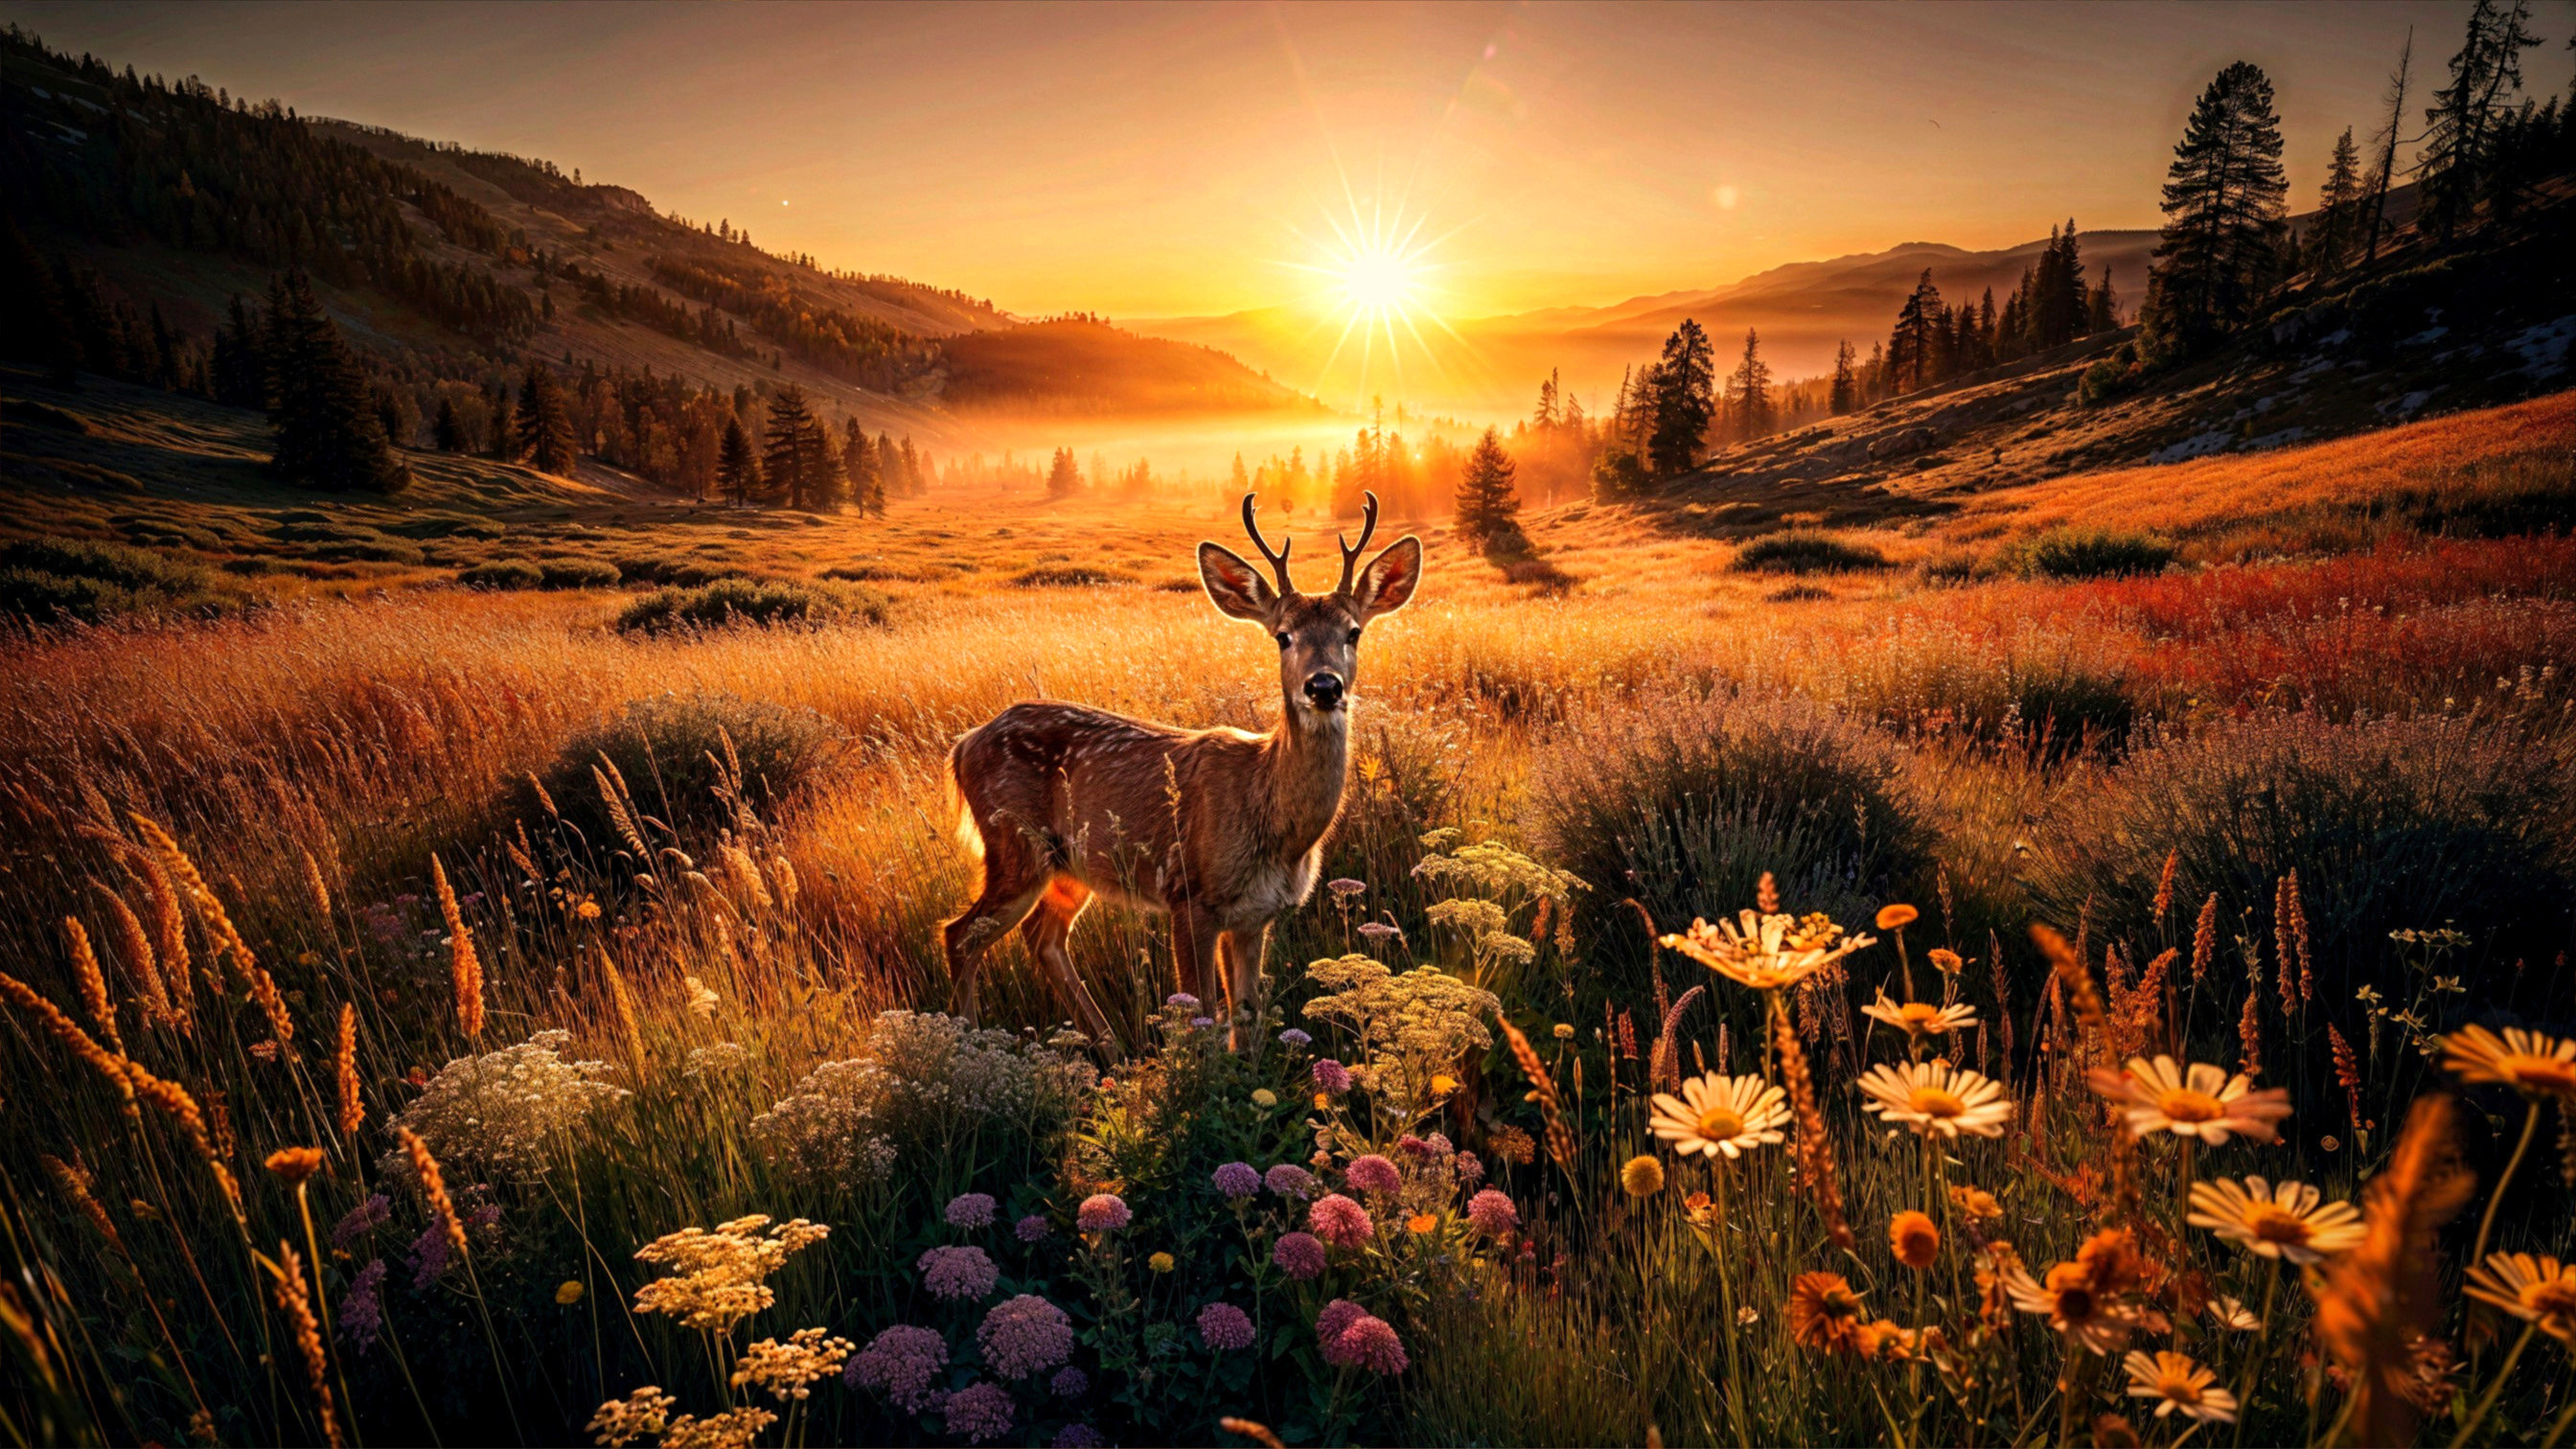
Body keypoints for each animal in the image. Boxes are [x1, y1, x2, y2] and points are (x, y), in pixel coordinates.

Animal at [940, 491, 1423, 1051]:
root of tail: (963, 744)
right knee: (960, 934)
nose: (1324, 686)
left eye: (1354, 632)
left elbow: (1246, 1020)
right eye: (1283, 636)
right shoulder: (1188, 897)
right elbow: (1205, 1021)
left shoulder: (1256, 916)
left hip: (1069, 865)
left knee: (1043, 935)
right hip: (1014, 843)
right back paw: (969, 1043)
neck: (1273, 823)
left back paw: (1112, 1048)